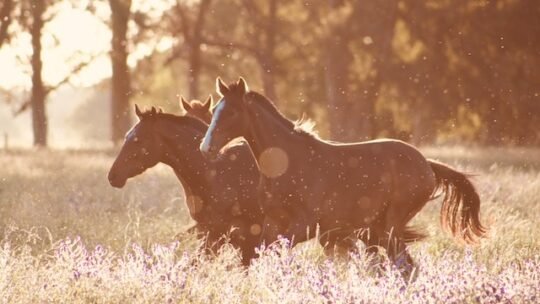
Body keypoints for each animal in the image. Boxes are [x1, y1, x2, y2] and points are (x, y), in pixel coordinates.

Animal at [200, 78, 488, 276]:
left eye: (231, 112)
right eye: (215, 110)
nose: (206, 148)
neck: (287, 163)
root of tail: (427, 164)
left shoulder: (305, 225)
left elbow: (274, 252)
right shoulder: (272, 221)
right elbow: (258, 254)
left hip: (390, 226)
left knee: (403, 265)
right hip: (375, 230)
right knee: (402, 265)